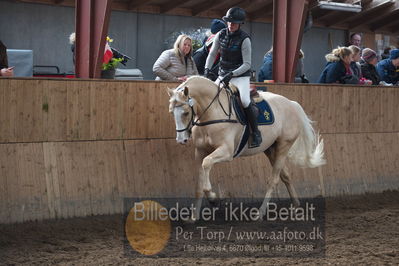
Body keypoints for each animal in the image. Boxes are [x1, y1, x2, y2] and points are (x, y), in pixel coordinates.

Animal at [167, 75, 326, 220]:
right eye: (171, 112)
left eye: (186, 112)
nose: (181, 140)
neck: (213, 111)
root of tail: (292, 104)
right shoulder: (200, 152)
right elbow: (199, 183)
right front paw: (193, 216)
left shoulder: (227, 152)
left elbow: (207, 164)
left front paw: (213, 198)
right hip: (270, 149)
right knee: (285, 175)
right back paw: (296, 206)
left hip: (283, 146)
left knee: (274, 180)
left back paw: (260, 213)